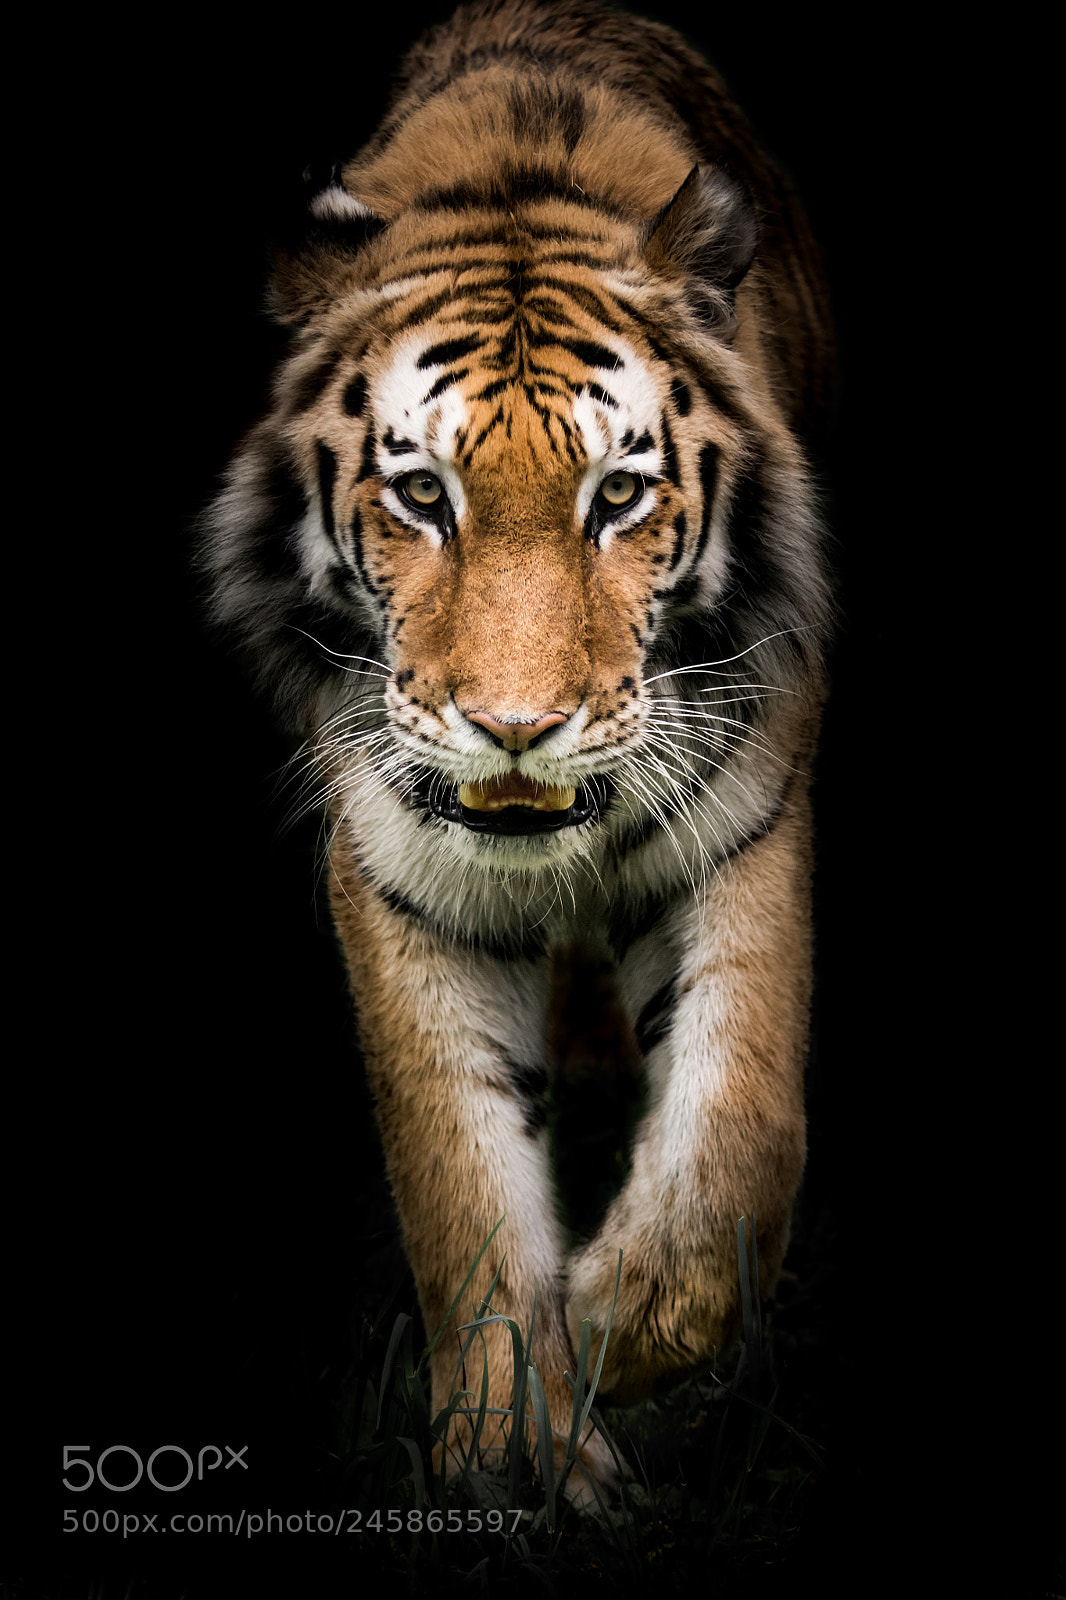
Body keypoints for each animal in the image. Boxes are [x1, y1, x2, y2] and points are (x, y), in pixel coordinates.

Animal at [200, 0, 834, 1501]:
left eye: (620, 496)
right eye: (422, 493)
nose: (516, 727)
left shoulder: (746, 819)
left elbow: (742, 1116)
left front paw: (627, 1321)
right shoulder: (395, 865)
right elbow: (454, 1170)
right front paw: (514, 1450)